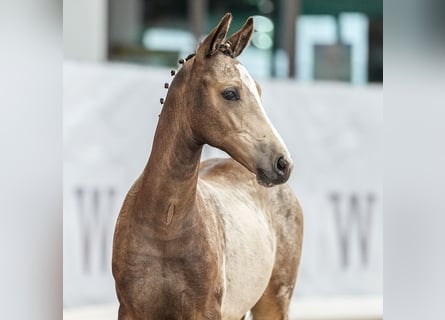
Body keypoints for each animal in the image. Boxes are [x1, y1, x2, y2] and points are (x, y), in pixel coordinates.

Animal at [112, 12, 304, 320]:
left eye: (259, 91)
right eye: (230, 93)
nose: (282, 163)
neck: (165, 225)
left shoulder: (206, 312)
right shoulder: (130, 310)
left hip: (275, 300)